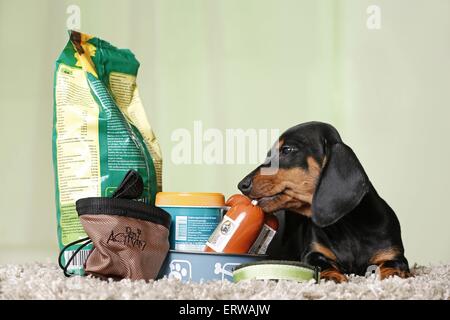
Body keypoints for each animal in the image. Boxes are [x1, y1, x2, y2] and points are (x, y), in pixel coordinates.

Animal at [239, 121, 412, 282]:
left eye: (287, 150)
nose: (242, 185)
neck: (348, 225)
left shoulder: (394, 255)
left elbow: (393, 264)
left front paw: (393, 276)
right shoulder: (313, 253)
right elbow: (322, 264)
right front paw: (331, 277)